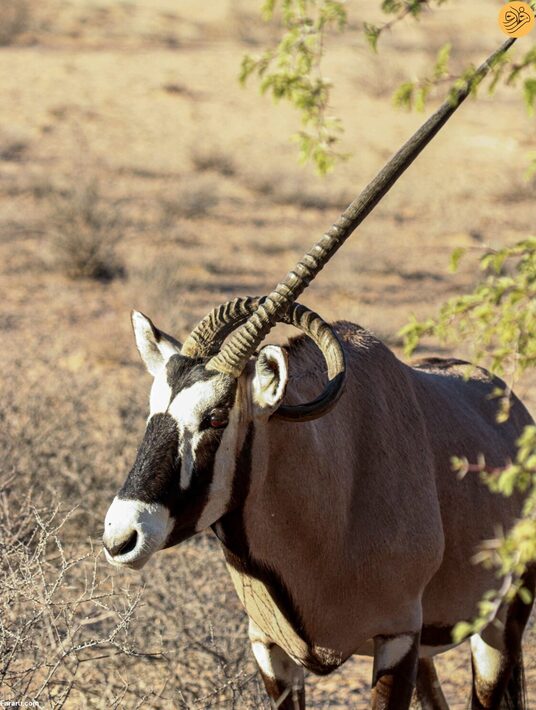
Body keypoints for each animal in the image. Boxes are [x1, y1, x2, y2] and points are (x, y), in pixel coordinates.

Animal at [102, 40, 532, 710]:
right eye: (154, 408)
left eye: (216, 416)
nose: (122, 537)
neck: (329, 490)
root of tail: (508, 404)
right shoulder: (272, 651)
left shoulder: (395, 639)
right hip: (438, 648)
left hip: (498, 621)